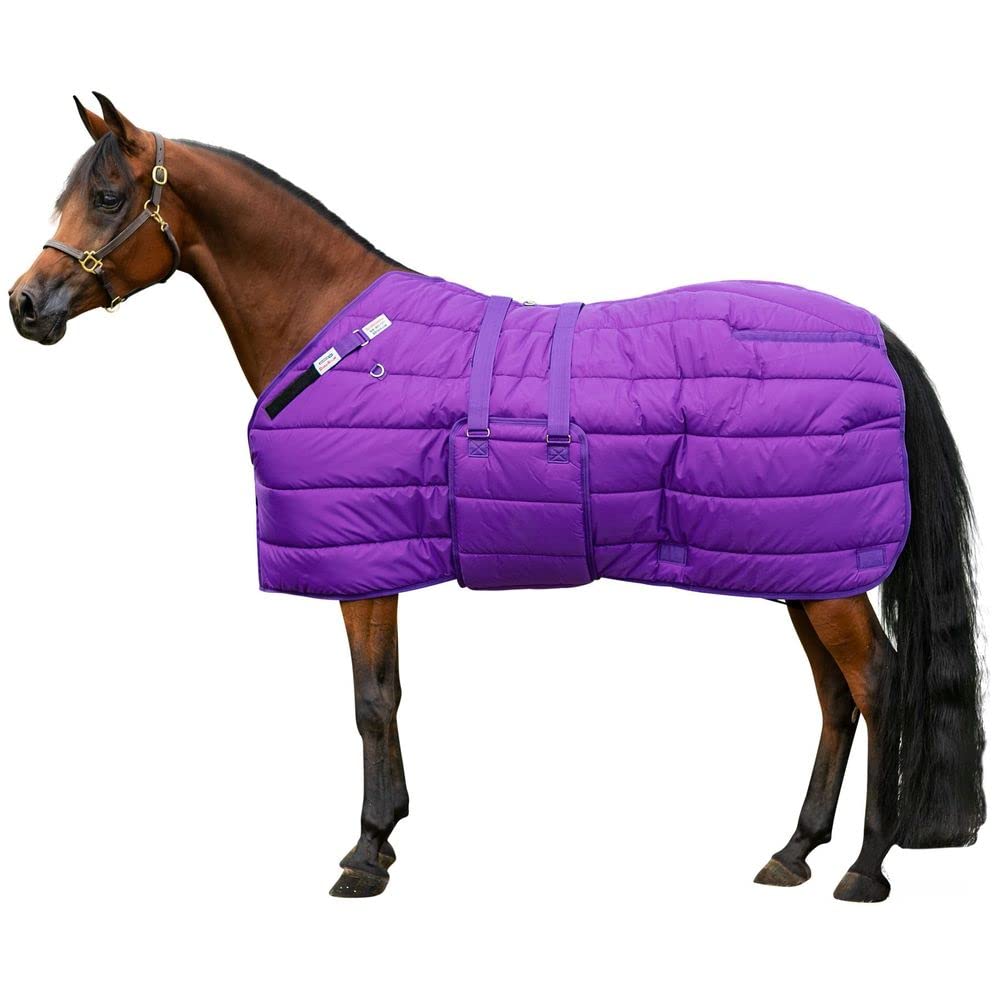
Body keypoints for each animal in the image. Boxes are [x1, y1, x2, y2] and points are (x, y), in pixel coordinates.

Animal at [8, 95, 985, 903]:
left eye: (107, 197)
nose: (26, 304)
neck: (339, 335)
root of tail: (876, 334)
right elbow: (387, 693)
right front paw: (387, 837)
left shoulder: (366, 566)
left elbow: (371, 700)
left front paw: (365, 854)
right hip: (798, 568)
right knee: (835, 698)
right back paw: (794, 851)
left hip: (824, 577)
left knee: (878, 685)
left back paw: (864, 868)